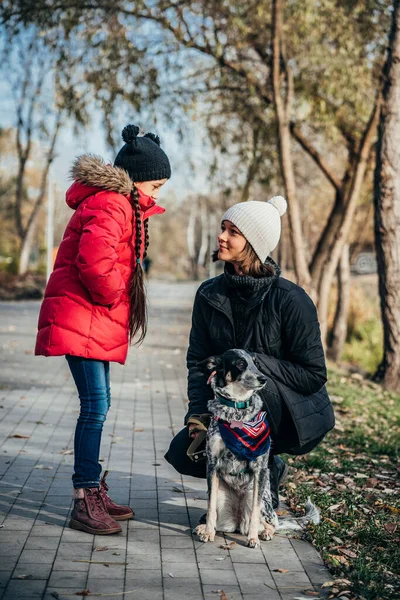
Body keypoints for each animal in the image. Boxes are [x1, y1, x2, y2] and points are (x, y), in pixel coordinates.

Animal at [195, 346, 278, 548]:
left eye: (256, 363)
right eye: (240, 363)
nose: (263, 379)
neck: (236, 410)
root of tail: (238, 520)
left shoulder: (259, 468)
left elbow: (255, 512)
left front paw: (253, 538)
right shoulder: (212, 465)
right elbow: (210, 507)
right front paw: (207, 532)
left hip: (255, 497)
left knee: (269, 522)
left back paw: (264, 533)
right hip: (221, 498)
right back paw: (203, 527)